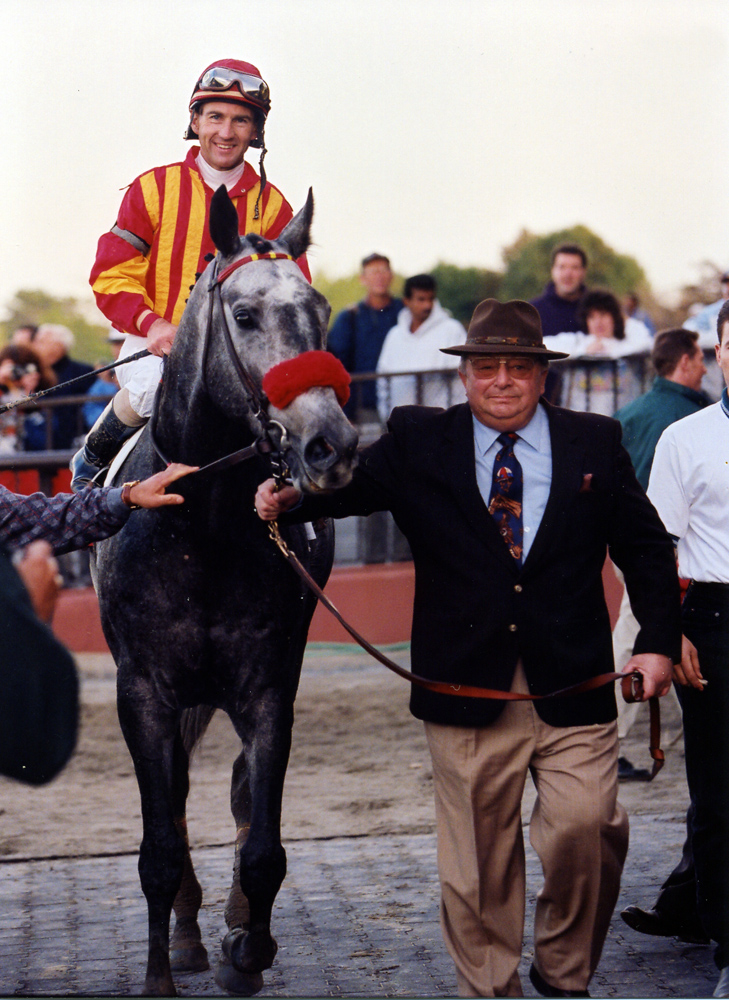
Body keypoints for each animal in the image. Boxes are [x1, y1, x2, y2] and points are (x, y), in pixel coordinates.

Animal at [94, 186, 358, 992]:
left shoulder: (268, 686)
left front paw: (250, 949)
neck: (202, 530)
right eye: (243, 314)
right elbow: (158, 844)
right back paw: (185, 936)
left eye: (320, 307)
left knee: (239, 795)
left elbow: (263, 841)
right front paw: (161, 972)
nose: (332, 446)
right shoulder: (144, 690)